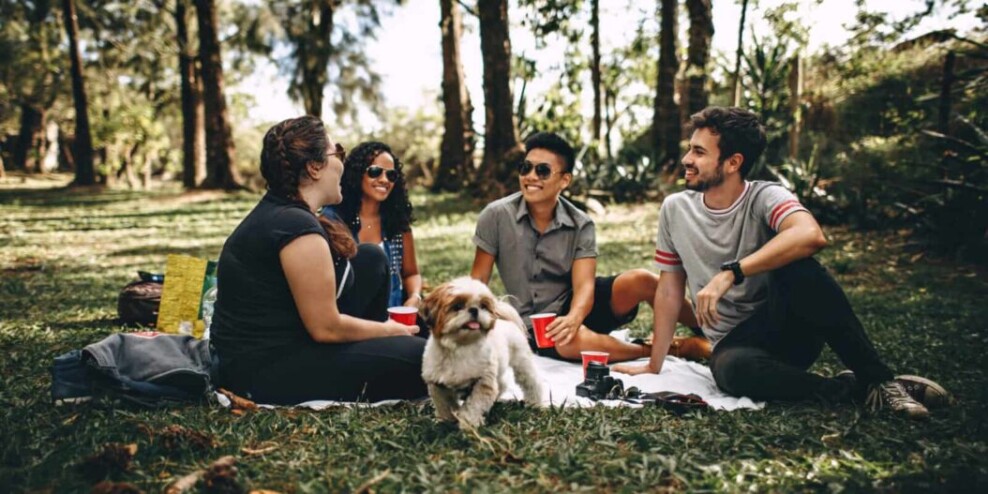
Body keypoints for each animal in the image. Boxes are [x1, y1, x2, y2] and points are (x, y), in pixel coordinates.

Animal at [418, 276, 544, 430]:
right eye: (457, 306)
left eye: (483, 306)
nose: (474, 310)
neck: (460, 347)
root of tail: (506, 321)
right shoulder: (437, 384)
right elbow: (445, 404)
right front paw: (446, 420)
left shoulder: (483, 382)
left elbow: (474, 405)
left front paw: (468, 423)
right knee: (501, 384)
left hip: (521, 362)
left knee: (532, 382)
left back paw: (534, 403)